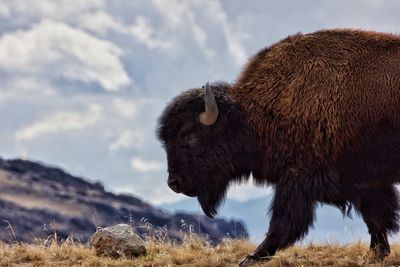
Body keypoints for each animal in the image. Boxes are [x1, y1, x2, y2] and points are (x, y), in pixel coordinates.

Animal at [157, 29, 400, 266]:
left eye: (191, 137)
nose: (174, 183)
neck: (251, 115)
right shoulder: (365, 182)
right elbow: (375, 216)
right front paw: (377, 253)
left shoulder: (297, 179)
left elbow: (282, 221)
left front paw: (252, 257)